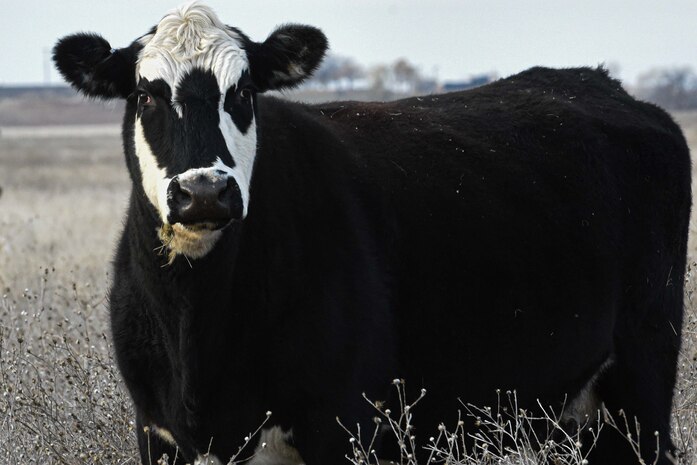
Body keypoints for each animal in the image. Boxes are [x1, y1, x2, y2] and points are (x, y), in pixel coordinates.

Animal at [53, 3, 690, 465]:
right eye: (146, 94)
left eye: (242, 93)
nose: (205, 191)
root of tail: (601, 84)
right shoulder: (158, 431)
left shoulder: (343, 422)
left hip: (642, 382)